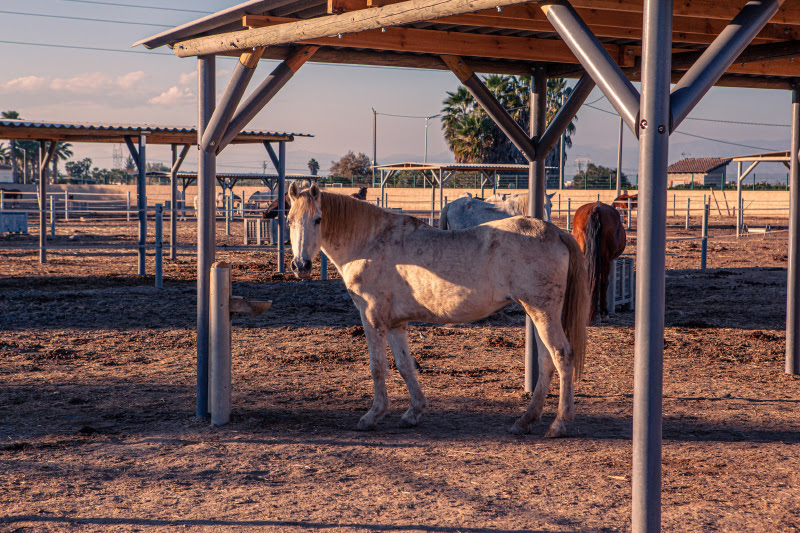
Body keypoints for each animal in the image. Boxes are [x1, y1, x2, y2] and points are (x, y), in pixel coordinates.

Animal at [286, 183, 588, 436]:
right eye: (289, 220)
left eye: (317, 219)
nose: (301, 265)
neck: (369, 243)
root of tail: (556, 232)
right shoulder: (395, 324)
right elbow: (405, 366)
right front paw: (413, 412)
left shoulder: (372, 318)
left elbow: (378, 367)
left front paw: (373, 415)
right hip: (537, 314)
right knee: (547, 362)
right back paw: (525, 420)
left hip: (543, 313)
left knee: (562, 356)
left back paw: (560, 423)